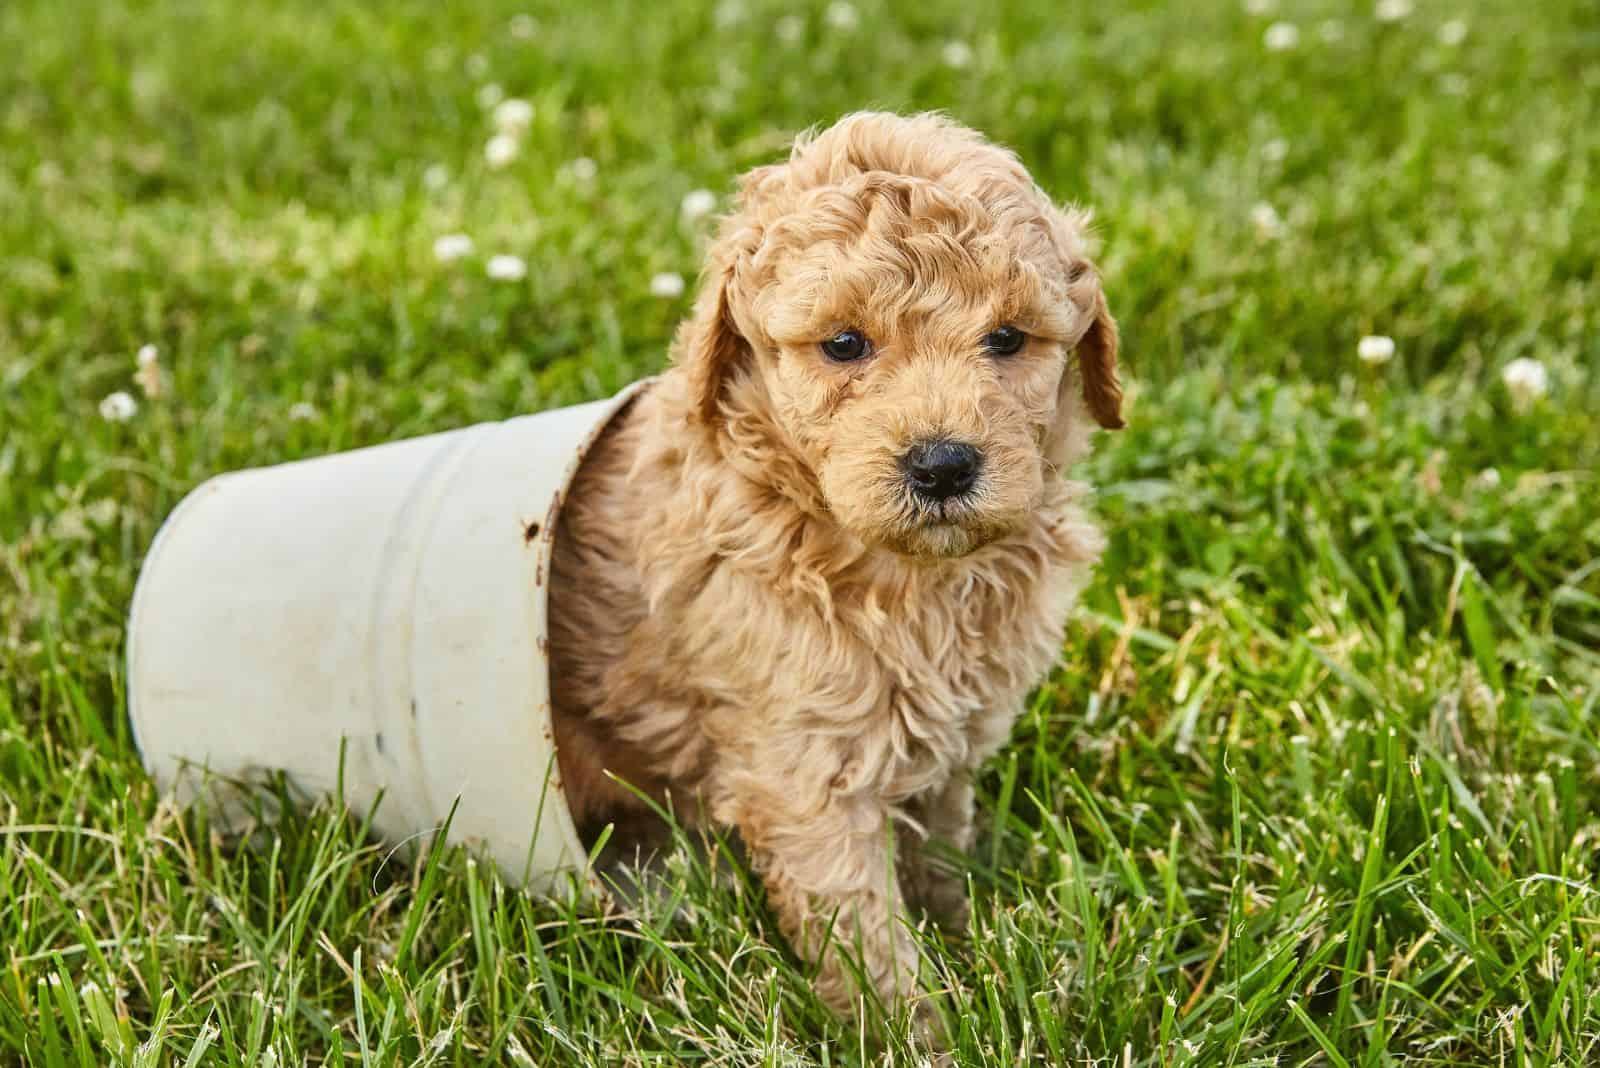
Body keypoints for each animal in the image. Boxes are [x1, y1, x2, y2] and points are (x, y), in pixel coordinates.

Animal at [550, 112, 1126, 1023]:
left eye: (1007, 339)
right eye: (844, 344)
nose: (942, 465)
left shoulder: (950, 740)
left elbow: (938, 853)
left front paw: (968, 935)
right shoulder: (804, 773)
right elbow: (862, 934)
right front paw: (915, 1031)